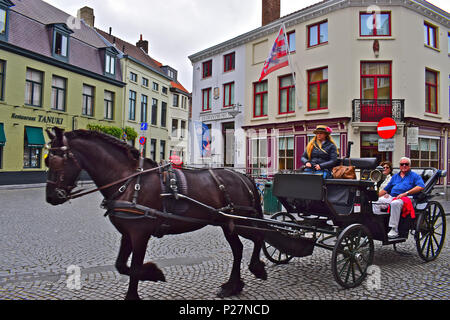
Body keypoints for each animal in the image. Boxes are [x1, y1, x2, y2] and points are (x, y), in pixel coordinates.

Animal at [44, 127, 268, 300]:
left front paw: (140, 287)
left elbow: (134, 267)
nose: (51, 197)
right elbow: (121, 265)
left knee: (258, 237)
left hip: (240, 221)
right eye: (46, 162)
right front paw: (153, 273)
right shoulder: (128, 233)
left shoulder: (140, 233)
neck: (129, 181)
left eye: (56, 161)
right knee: (238, 249)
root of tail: (243, 177)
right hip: (227, 224)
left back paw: (256, 268)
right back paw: (232, 286)